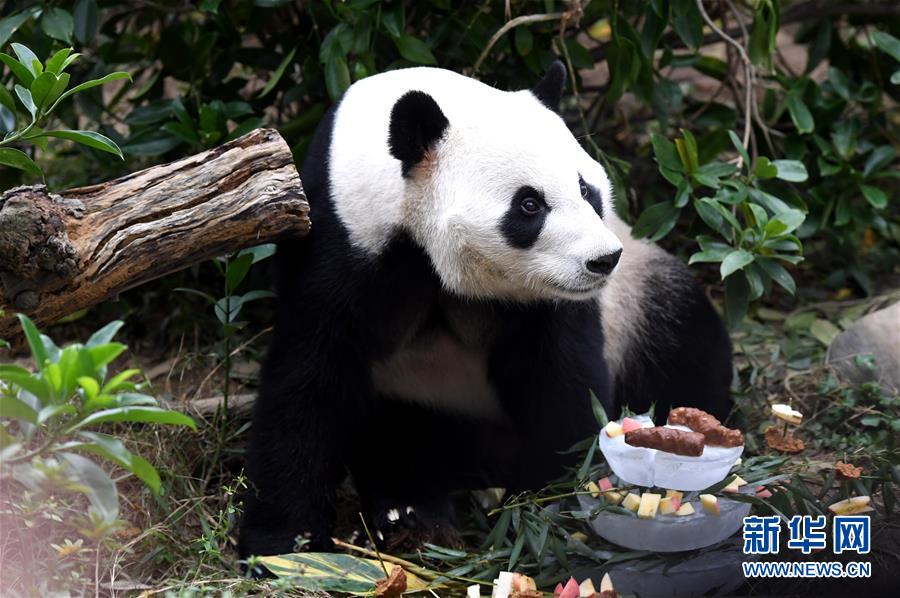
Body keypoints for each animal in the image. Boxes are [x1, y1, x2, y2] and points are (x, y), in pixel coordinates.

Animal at [238, 62, 732, 559]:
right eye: (529, 204)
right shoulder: (340, 242)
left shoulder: (548, 301)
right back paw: (411, 513)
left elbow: (560, 383)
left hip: (636, 296)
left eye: (586, 189)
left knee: (679, 338)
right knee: (401, 434)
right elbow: (308, 382)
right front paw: (283, 544)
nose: (602, 260)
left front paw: (542, 509)